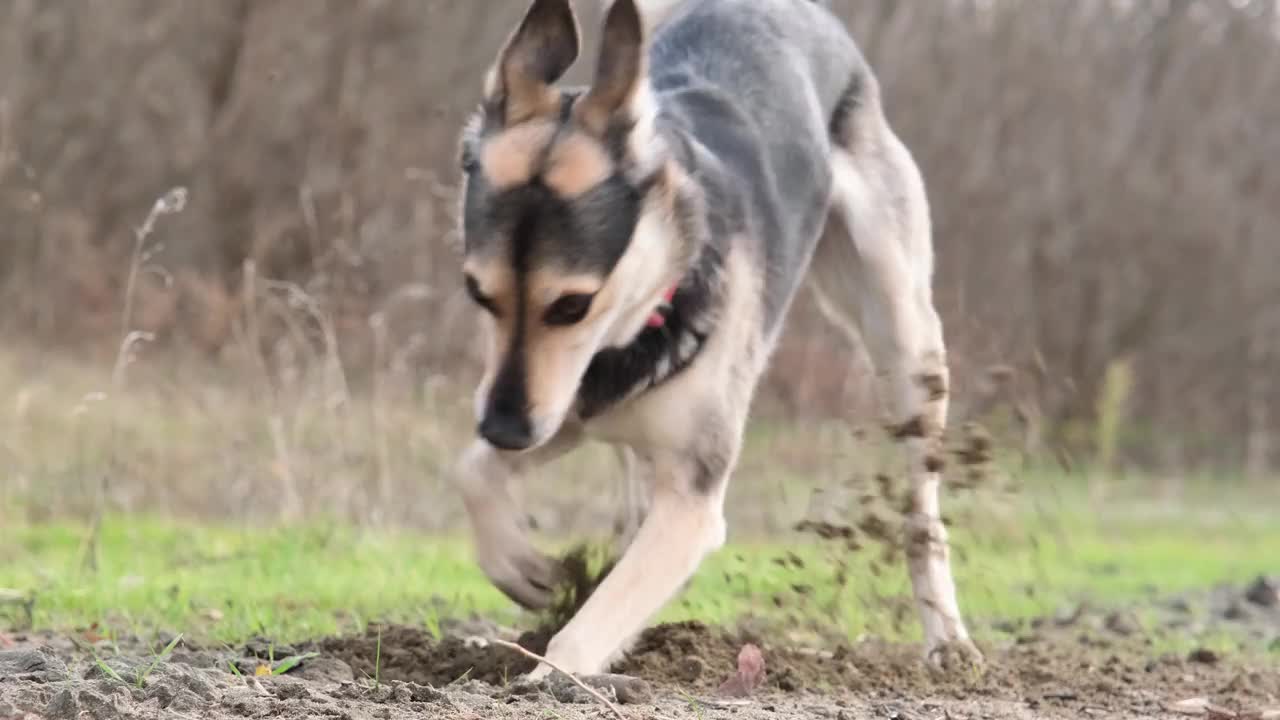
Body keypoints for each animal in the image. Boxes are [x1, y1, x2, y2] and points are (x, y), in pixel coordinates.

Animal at [450, 0, 977, 676]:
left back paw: (948, 639)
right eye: (478, 293)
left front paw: (554, 676)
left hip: (906, 339)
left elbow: (585, 630)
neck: (648, 307)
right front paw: (526, 570)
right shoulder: (568, 409)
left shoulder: (690, 500)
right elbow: (472, 472)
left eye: (572, 305)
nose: (503, 430)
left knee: (921, 511)